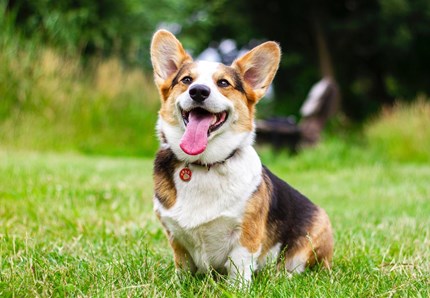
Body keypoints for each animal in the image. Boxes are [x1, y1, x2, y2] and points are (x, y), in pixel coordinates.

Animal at [151, 30, 336, 284]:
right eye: (187, 80)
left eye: (223, 83)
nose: (198, 91)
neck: (205, 164)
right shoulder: (175, 236)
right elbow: (183, 266)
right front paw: (179, 284)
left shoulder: (245, 235)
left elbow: (238, 267)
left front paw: (236, 288)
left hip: (316, 232)